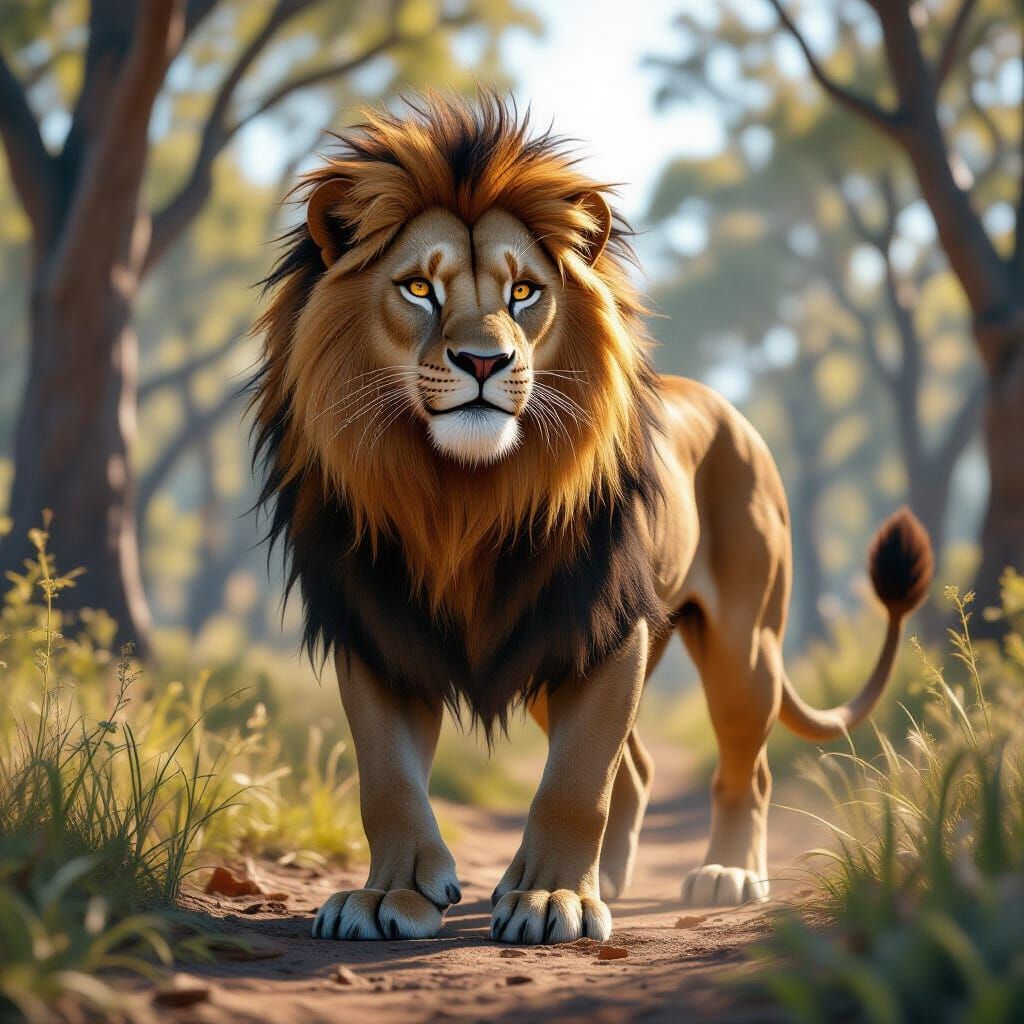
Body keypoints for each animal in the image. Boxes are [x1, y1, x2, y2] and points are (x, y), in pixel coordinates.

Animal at [250, 93, 933, 945]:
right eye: (417, 289)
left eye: (523, 293)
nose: (485, 362)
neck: (460, 496)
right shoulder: (378, 628)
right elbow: (389, 782)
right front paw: (389, 896)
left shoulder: (605, 626)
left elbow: (576, 784)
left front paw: (550, 899)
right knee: (637, 767)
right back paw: (607, 877)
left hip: (744, 645)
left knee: (745, 767)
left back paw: (727, 874)